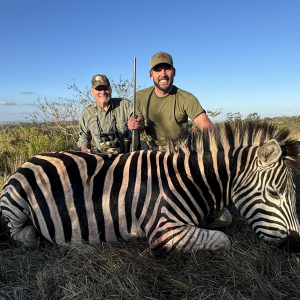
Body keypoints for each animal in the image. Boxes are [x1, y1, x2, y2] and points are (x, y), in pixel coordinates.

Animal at [0, 120, 300, 253]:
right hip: (16, 205)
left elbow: (224, 220)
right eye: (274, 193)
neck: (188, 180)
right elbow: (224, 241)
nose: (296, 245)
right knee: (20, 233)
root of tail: (29, 159)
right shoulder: (164, 230)